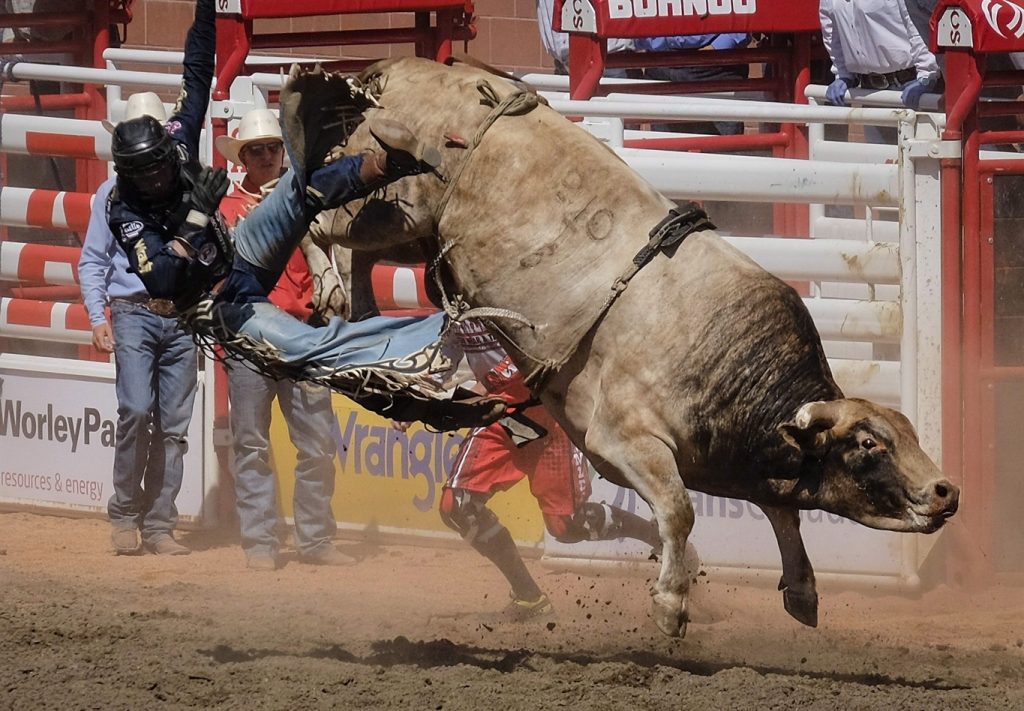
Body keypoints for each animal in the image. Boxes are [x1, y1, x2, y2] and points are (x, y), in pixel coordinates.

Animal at [299, 58, 958, 639]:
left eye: (909, 434)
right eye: (869, 443)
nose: (946, 491)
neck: (726, 364)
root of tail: (405, 69)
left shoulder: (725, 462)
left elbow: (783, 512)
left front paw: (801, 592)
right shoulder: (622, 440)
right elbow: (680, 511)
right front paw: (671, 604)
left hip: (406, 232)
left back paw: (358, 311)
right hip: (389, 206)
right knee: (314, 216)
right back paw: (329, 293)